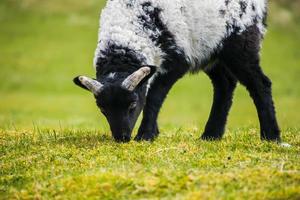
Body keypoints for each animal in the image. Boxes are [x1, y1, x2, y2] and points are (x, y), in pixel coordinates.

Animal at [73, 0, 282, 142]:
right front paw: (153, 132)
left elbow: (154, 96)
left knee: (260, 83)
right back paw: (211, 135)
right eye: (102, 108)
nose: (122, 138)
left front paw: (146, 135)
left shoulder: (177, 61)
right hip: (210, 49)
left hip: (241, 41)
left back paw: (271, 137)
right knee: (225, 84)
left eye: (132, 104)